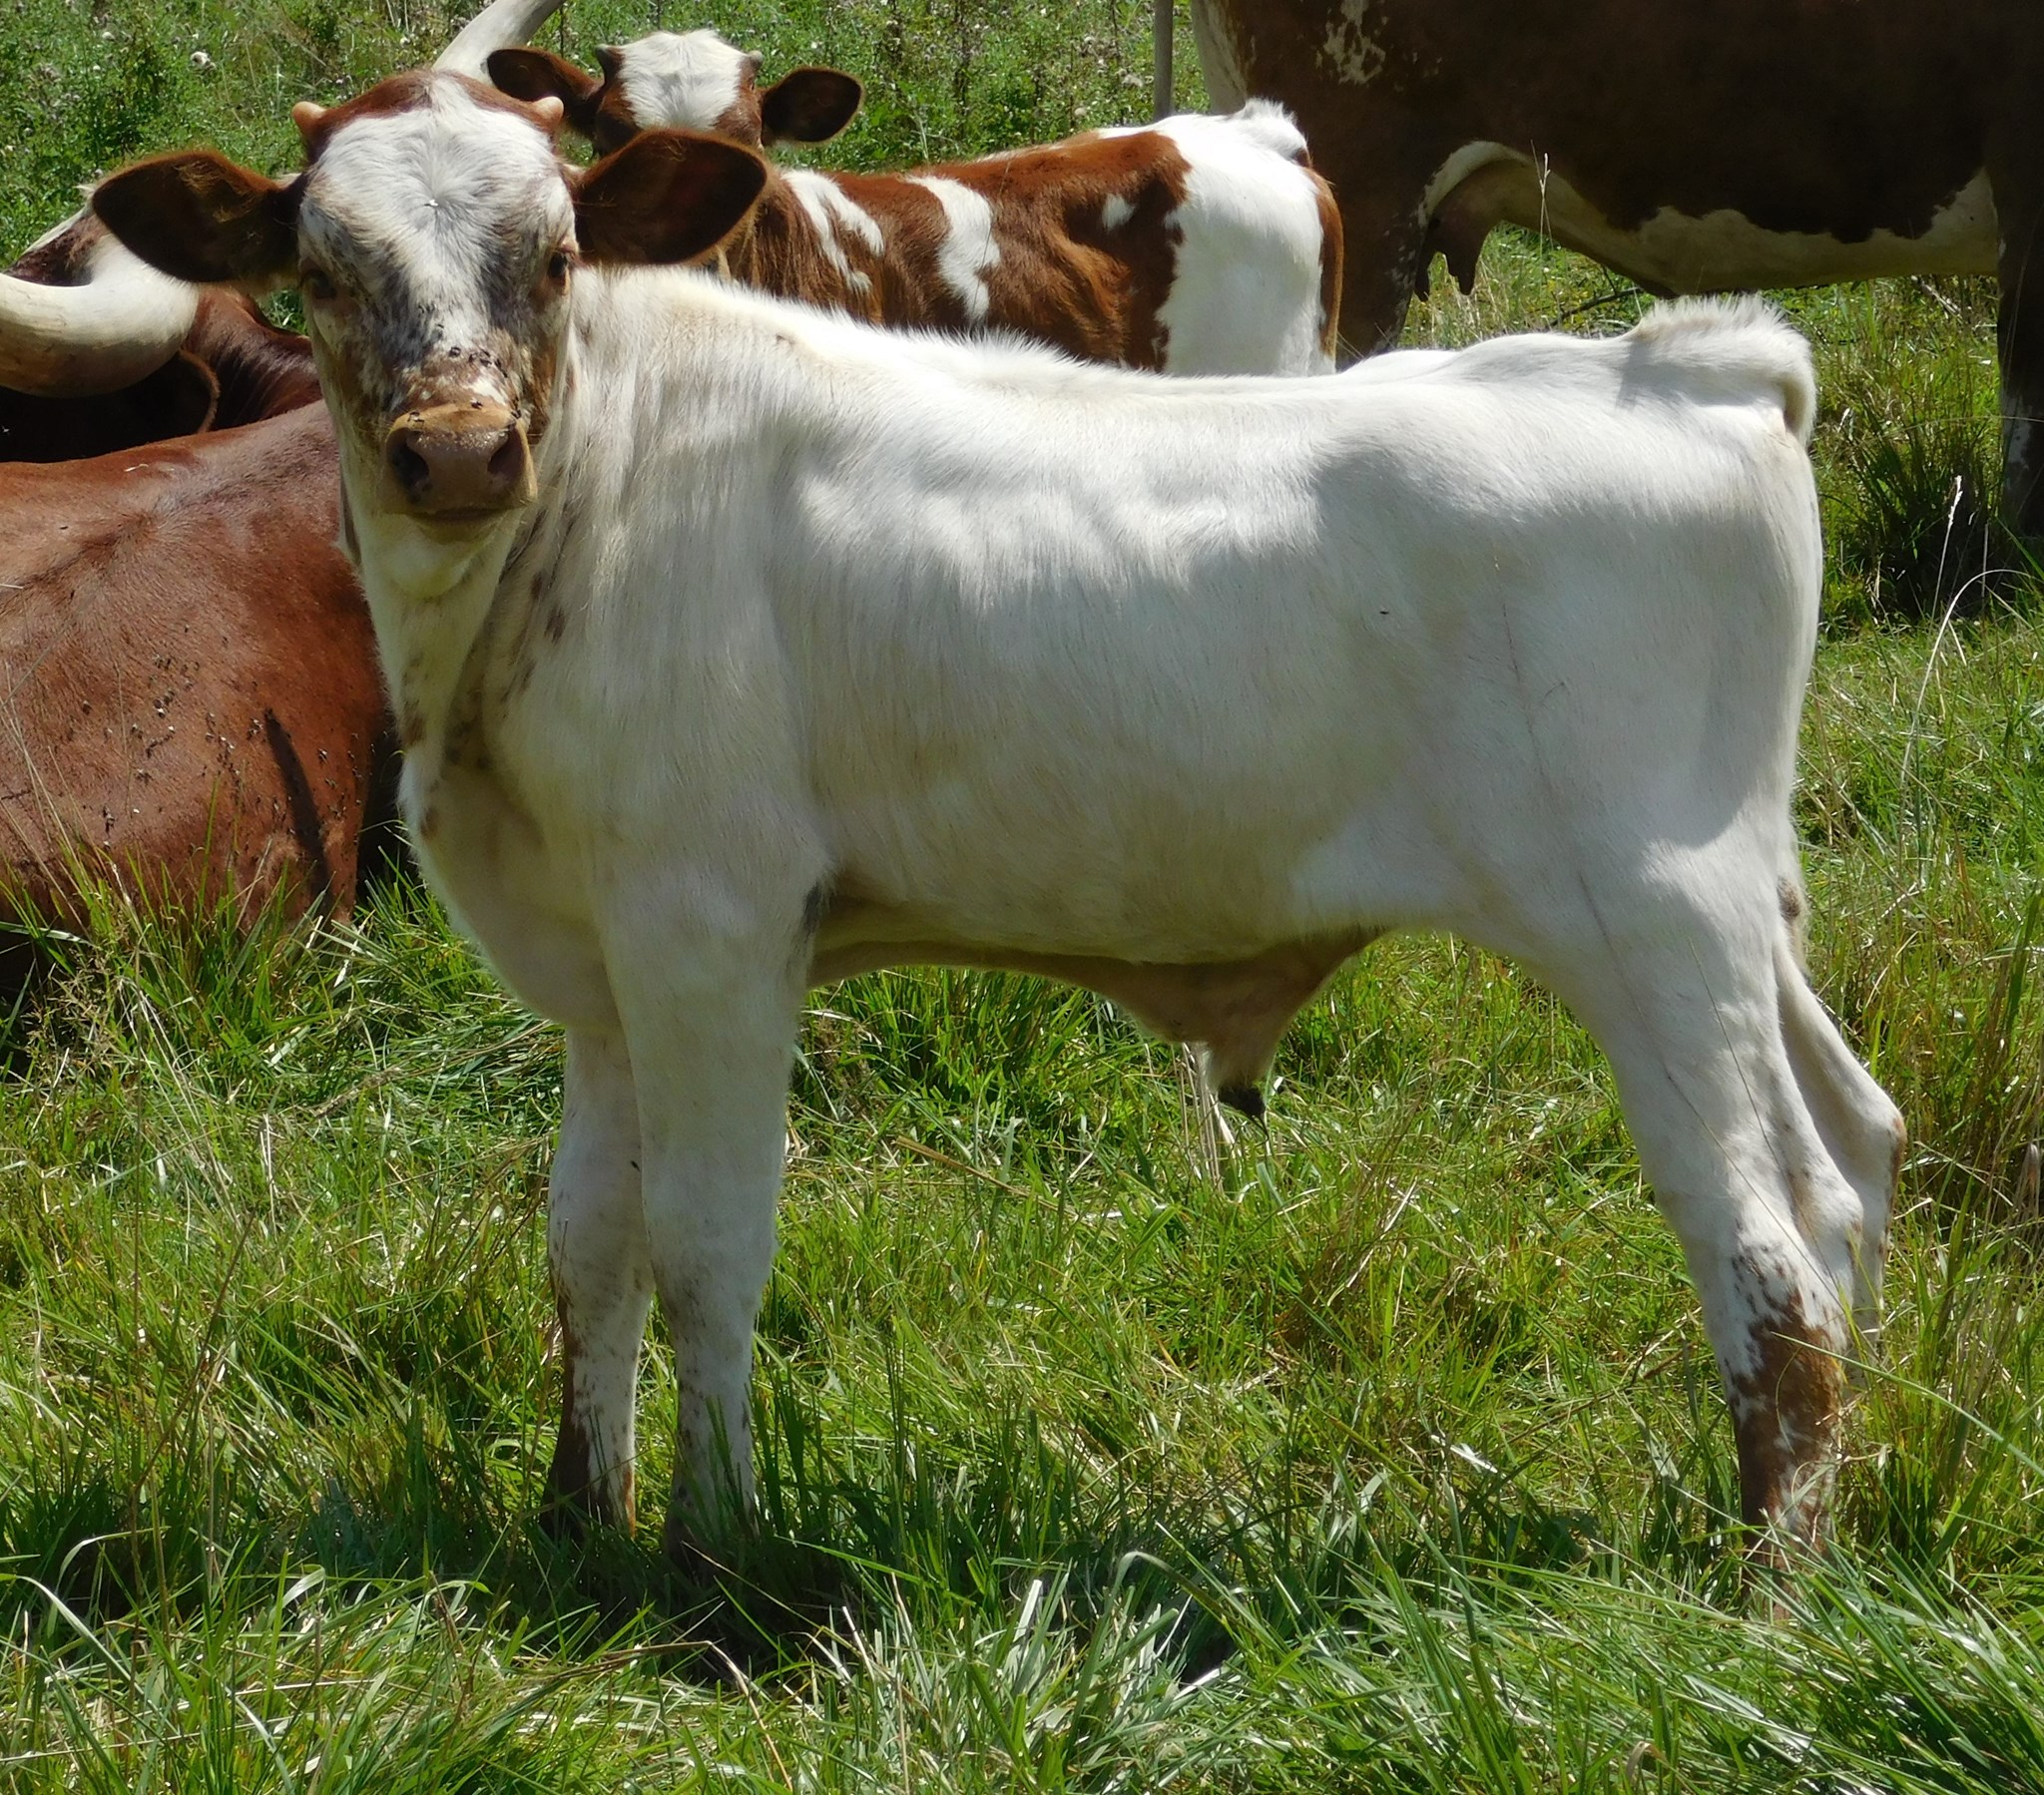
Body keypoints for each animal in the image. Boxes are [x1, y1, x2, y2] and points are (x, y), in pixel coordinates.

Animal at [93, 72, 1905, 1563]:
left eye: (549, 256)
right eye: (324, 269)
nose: (460, 453)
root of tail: (1685, 364)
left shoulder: (712, 931)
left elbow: (704, 1241)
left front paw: (708, 1551)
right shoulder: (603, 958)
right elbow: (585, 1241)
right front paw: (573, 1518)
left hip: (1647, 926)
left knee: (1766, 1259)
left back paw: (1767, 1590)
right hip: (1745, 915)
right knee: (1848, 1161)